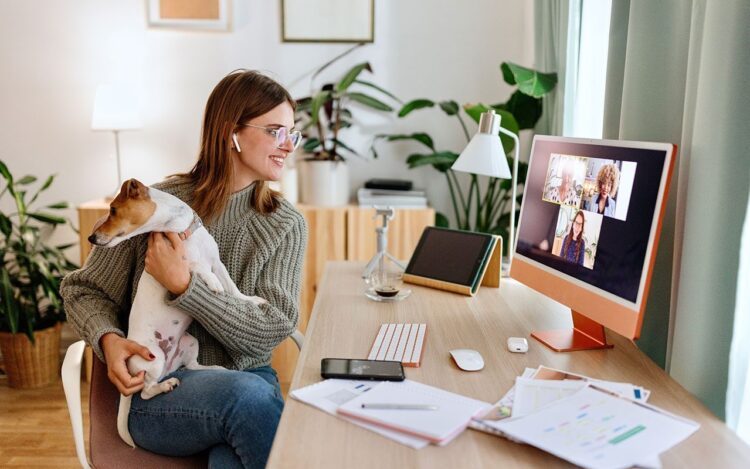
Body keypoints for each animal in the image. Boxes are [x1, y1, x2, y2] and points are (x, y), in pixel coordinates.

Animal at [89, 178, 268, 446]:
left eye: (112, 210)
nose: (91, 237)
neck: (180, 228)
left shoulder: (217, 263)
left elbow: (233, 289)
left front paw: (251, 300)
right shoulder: (180, 266)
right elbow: (197, 268)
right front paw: (212, 284)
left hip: (189, 341)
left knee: (191, 366)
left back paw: (214, 369)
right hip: (153, 358)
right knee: (146, 391)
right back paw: (166, 385)